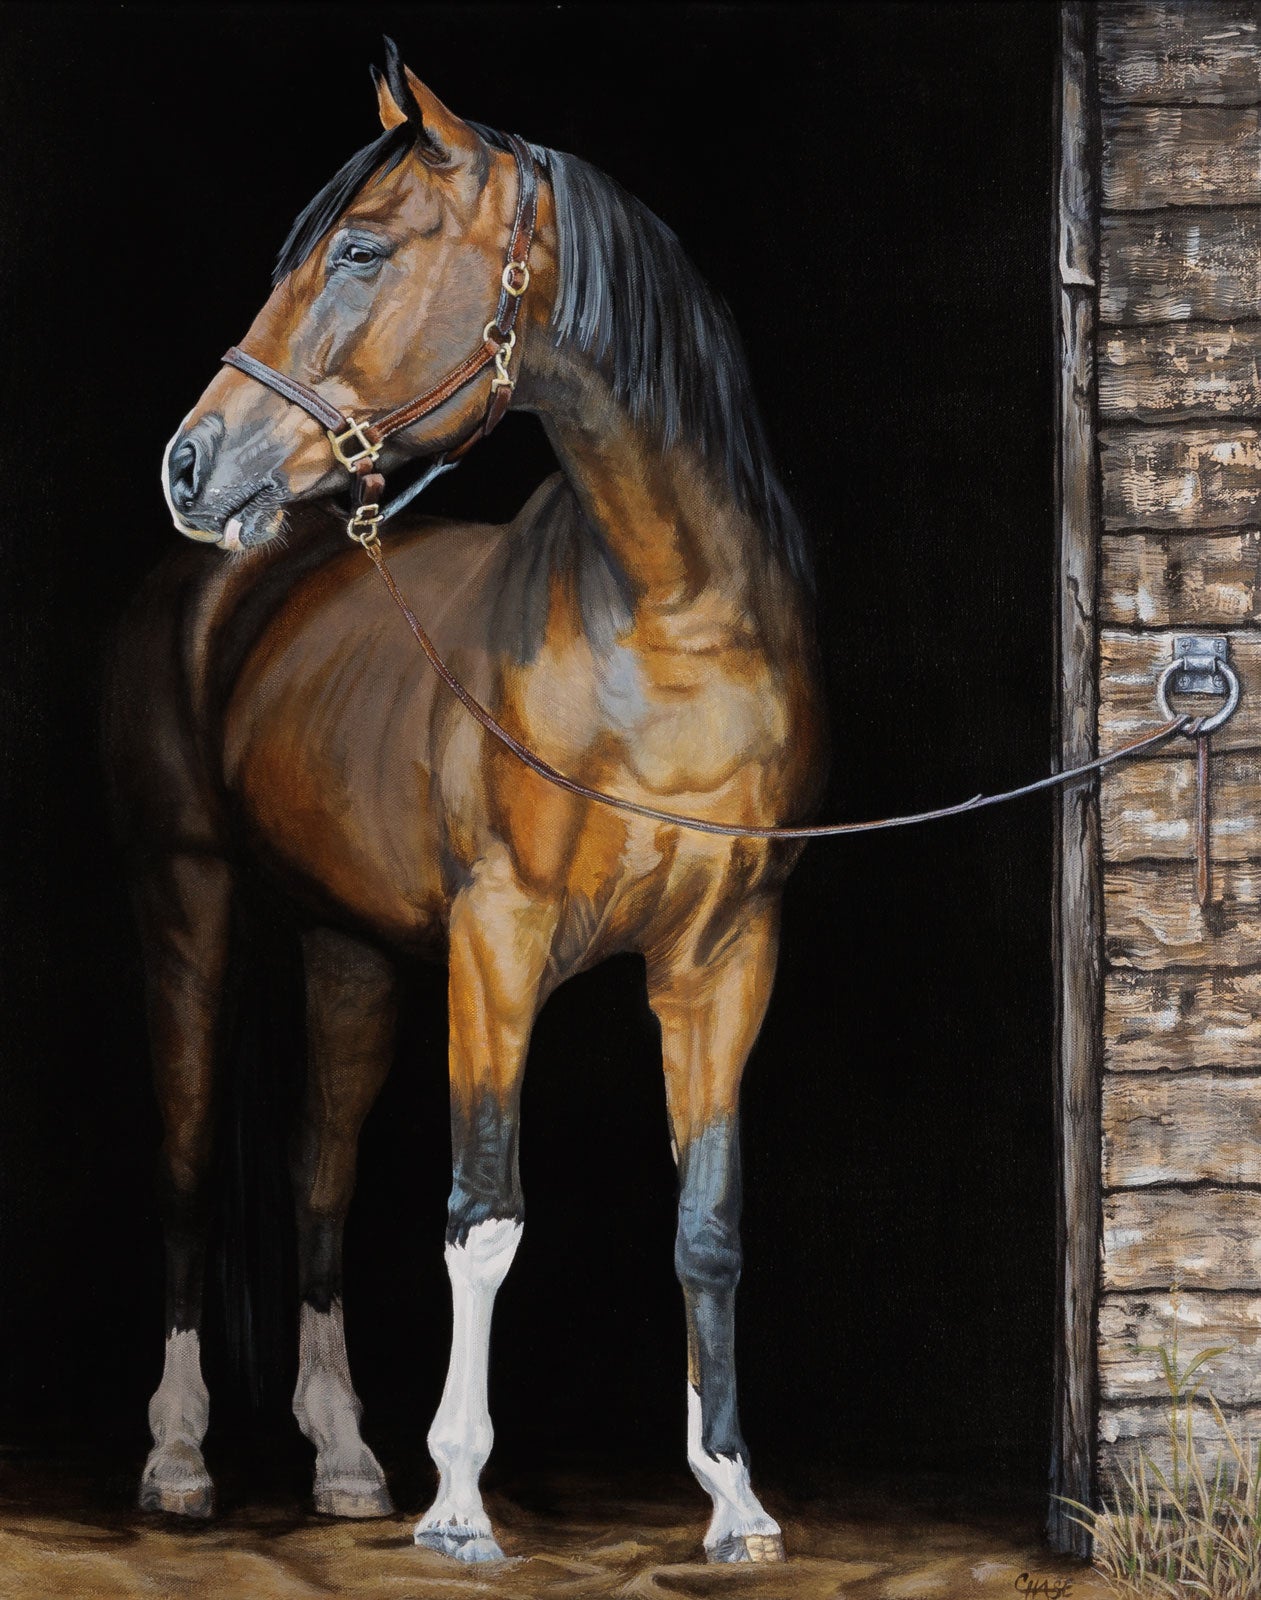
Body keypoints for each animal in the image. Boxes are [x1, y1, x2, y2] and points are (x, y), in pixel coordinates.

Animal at [105, 41, 824, 1565]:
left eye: (362, 251)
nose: (192, 463)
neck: (668, 628)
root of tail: (215, 577)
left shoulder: (725, 957)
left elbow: (710, 1222)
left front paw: (735, 1500)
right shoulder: (499, 941)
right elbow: (483, 1215)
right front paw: (457, 1503)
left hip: (352, 955)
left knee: (316, 1182)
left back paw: (340, 1462)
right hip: (188, 907)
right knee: (189, 1174)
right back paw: (182, 1460)